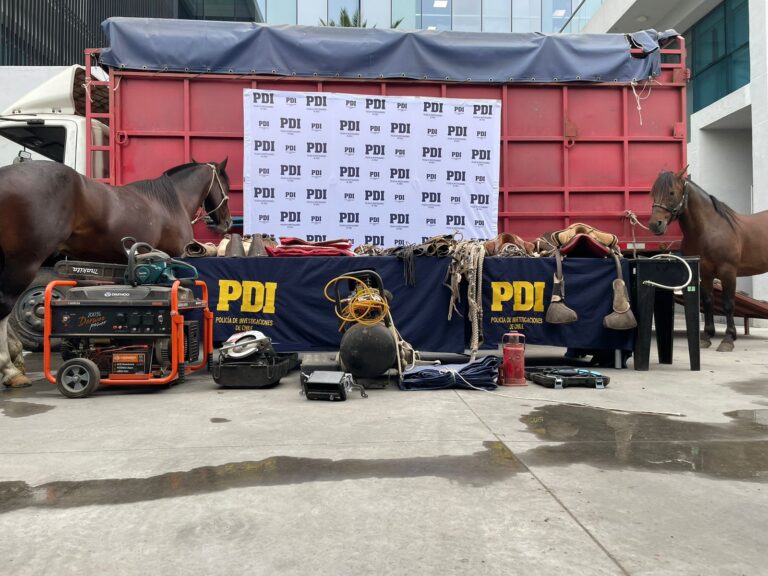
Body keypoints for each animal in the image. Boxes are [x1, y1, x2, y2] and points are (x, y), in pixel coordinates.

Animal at [0, 159, 234, 388]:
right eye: (226, 185)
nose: (228, 223)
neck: (170, 203)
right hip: (25, 262)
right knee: (5, 307)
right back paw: (11, 371)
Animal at [648, 166, 768, 352]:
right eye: (653, 193)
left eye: (671, 192)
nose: (655, 225)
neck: (709, 230)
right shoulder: (704, 272)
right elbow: (708, 301)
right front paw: (707, 337)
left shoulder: (728, 272)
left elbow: (728, 304)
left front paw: (728, 339)